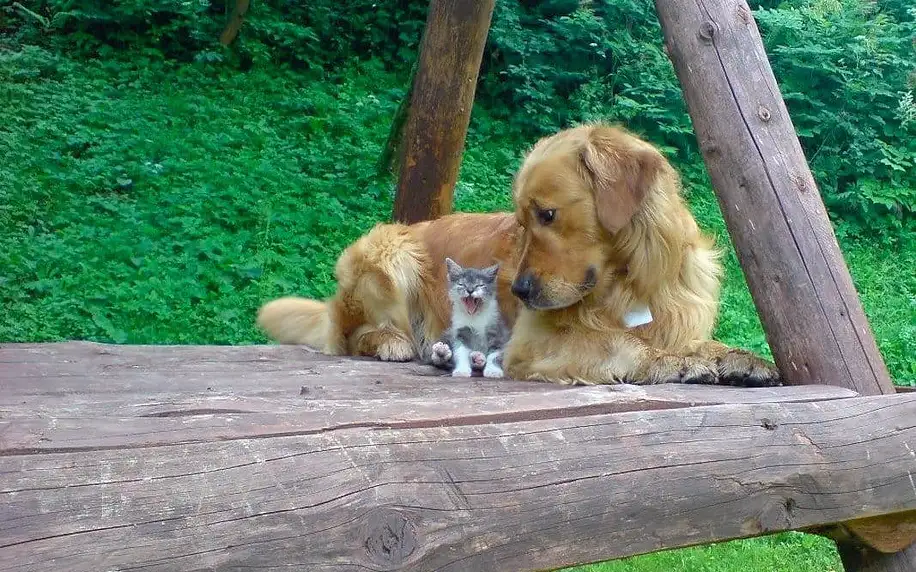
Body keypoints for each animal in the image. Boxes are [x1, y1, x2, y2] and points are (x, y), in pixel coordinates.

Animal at [258, 123, 780, 386]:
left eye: (546, 214)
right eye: (522, 221)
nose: (520, 291)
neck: (630, 281)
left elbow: (693, 341)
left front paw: (736, 357)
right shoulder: (534, 342)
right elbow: (623, 344)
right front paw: (677, 363)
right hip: (387, 250)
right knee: (350, 334)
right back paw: (391, 341)